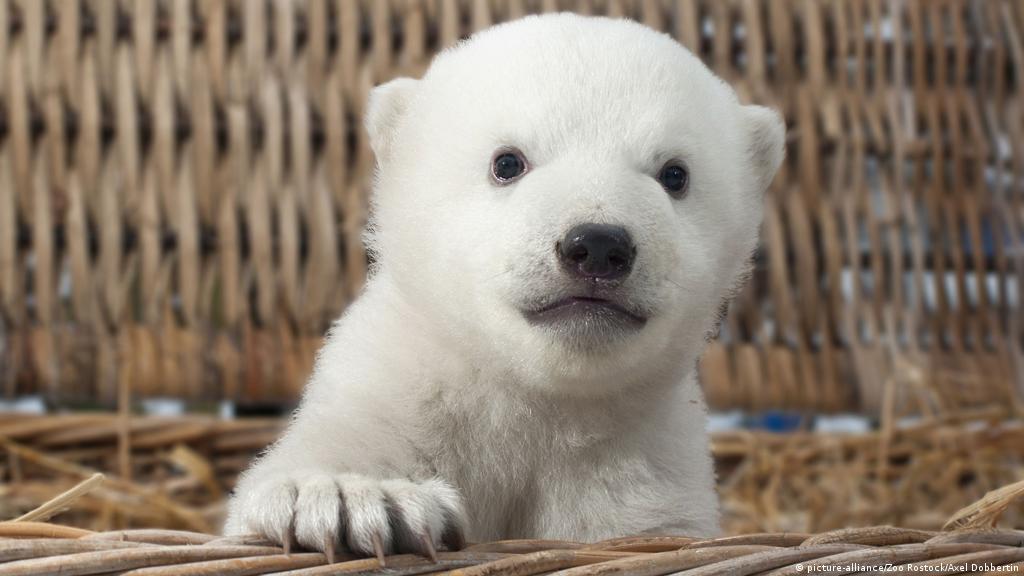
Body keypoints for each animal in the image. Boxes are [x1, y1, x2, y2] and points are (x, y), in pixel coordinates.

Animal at [224, 13, 785, 560]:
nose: (597, 246)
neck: (529, 398)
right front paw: (354, 499)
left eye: (674, 174)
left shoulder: (643, 464)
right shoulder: (393, 388)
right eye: (508, 162)